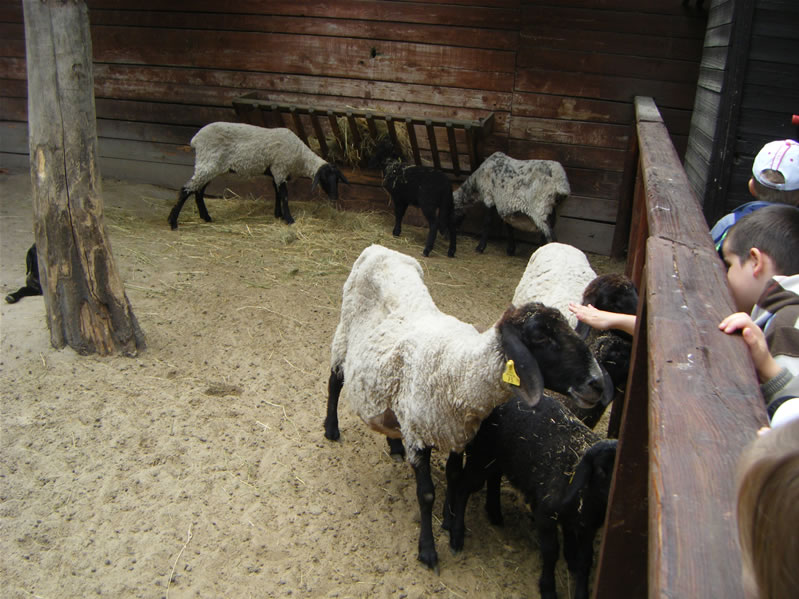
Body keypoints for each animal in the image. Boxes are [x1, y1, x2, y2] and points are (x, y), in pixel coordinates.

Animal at [167, 123, 348, 229]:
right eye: (324, 180)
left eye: (337, 179)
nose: (334, 197)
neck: (300, 157)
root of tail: (196, 139)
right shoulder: (280, 168)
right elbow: (284, 196)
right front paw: (289, 219)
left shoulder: (276, 172)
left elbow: (277, 193)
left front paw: (278, 214)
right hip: (208, 162)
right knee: (186, 189)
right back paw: (173, 221)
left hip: (210, 165)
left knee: (198, 190)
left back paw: (206, 217)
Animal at [323, 244, 612, 571]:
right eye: (541, 337)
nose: (597, 383)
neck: (460, 370)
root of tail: (379, 248)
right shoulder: (420, 436)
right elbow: (426, 494)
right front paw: (428, 550)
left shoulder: (457, 434)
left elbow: (454, 477)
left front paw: (450, 522)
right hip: (344, 336)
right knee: (334, 382)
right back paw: (331, 428)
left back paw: (394, 446)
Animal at [443, 392, 617, 599]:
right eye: (602, 469)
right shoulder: (545, 514)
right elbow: (551, 552)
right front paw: (548, 589)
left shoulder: (588, 526)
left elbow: (585, 559)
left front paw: (580, 588)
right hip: (481, 457)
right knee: (462, 487)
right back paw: (456, 537)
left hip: (494, 460)